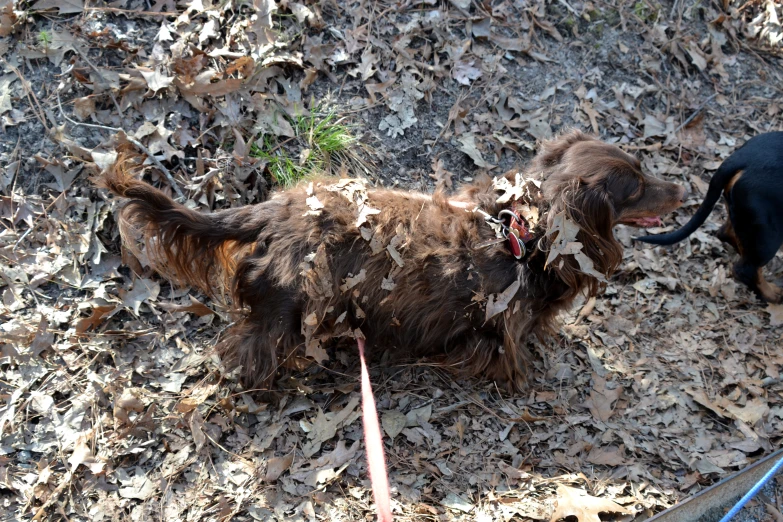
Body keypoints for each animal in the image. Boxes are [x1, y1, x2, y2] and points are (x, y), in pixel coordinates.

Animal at [99, 129, 688, 390]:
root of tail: (275, 210)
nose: (684, 187)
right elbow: (505, 353)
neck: (524, 231)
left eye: (642, 168)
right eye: (636, 188)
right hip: (287, 308)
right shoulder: (498, 323)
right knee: (245, 348)